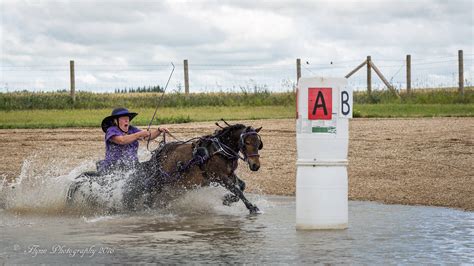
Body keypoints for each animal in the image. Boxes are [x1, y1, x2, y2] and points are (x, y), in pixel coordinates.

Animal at [67, 121, 262, 215]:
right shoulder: (219, 176)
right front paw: (252, 207)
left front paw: (227, 200)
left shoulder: (228, 174)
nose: (255, 166)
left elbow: (241, 186)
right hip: (158, 183)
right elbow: (238, 190)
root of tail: (158, 156)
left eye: (258, 143)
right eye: (247, 142)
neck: (219, 149)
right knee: (144, 197)